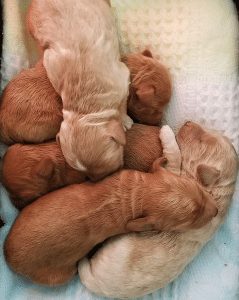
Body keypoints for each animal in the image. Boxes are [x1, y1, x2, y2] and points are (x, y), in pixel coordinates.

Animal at [77, 122, 238, 300]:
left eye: (201, 141)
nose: (187, 122)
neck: (216, 191)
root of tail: (98, 285)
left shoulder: (173, 175)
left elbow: (175, 155)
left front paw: (166, 132)